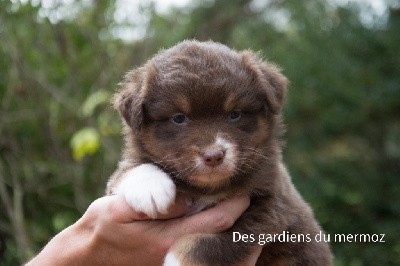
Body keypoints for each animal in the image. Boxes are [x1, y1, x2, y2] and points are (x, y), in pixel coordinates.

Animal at [105, 40, 332, 266]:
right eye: (179, 118)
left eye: (235, 114)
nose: (213, 155)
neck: (207, 190)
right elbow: (128, 169)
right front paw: (149, 188)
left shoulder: (270, 206)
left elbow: (211, 244)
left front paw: (178, 261)